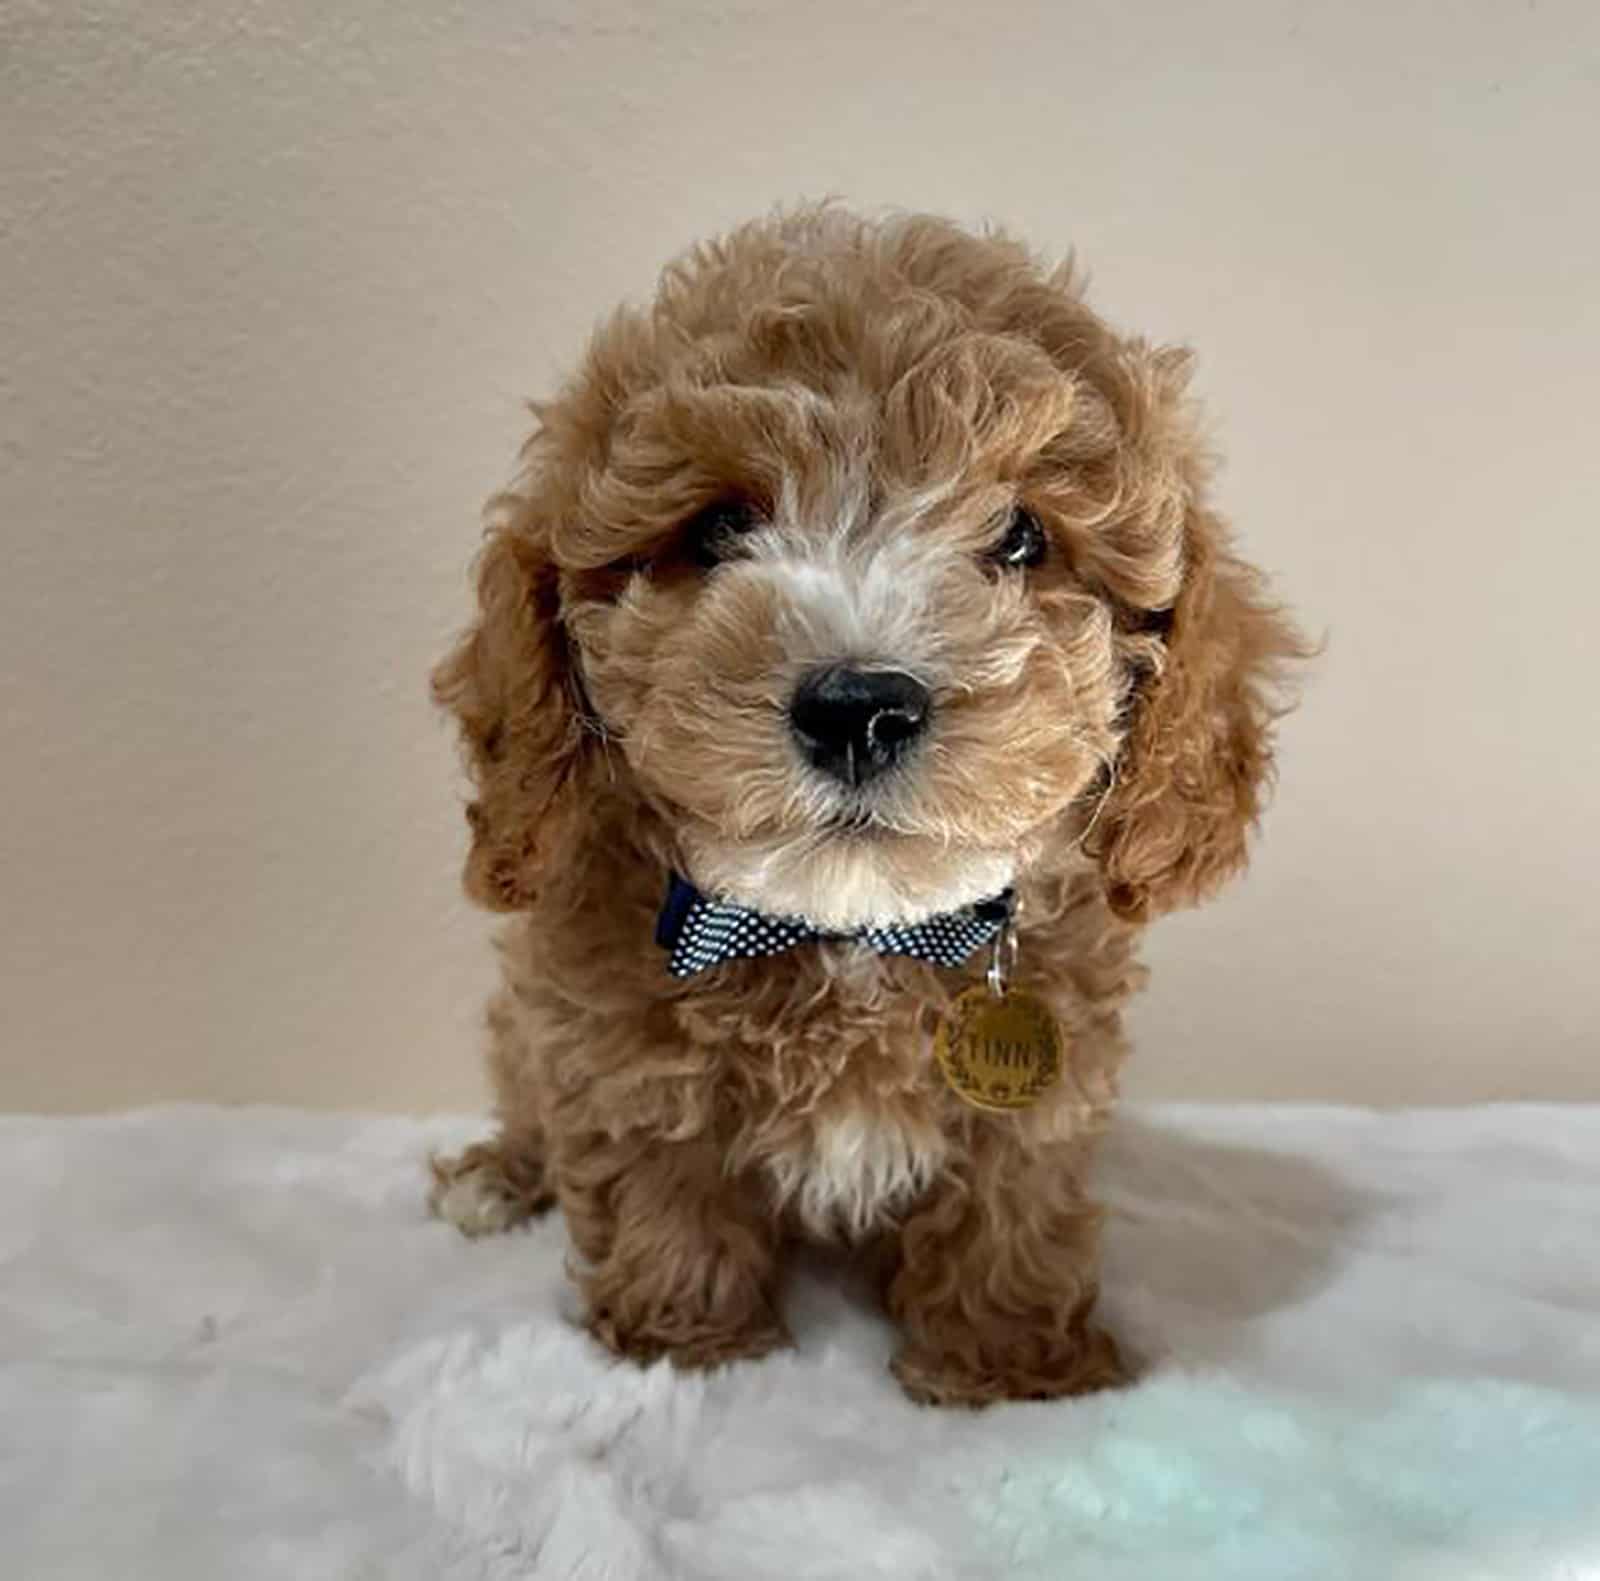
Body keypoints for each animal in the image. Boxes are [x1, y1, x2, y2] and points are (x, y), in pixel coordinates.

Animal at [432, 204, 1305, 1401]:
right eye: (715, 530)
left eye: (1023, 535)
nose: (859, 708)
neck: (852, 935)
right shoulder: (615, 1052)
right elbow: (660, 1187)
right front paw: (684, 1347)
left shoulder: (1040, 1093)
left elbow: (1009, 1214)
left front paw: (1009, 1369)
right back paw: (496, 1175)